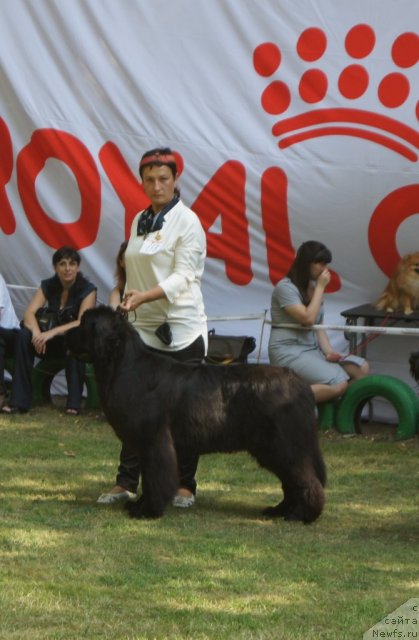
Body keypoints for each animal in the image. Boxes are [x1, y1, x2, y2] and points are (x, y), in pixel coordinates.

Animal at [66, 308, 328, 524]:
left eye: (84, 323)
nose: (65, 334)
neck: (123, 365)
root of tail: (302, 385)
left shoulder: (155, 441)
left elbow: (154, 478)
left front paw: (148, 511)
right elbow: (148, 478)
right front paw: (138, 505)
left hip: (285, 445)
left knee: (305, 479)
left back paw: (302, 515)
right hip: (270, 448)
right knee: (290, 481)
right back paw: (279, 510)